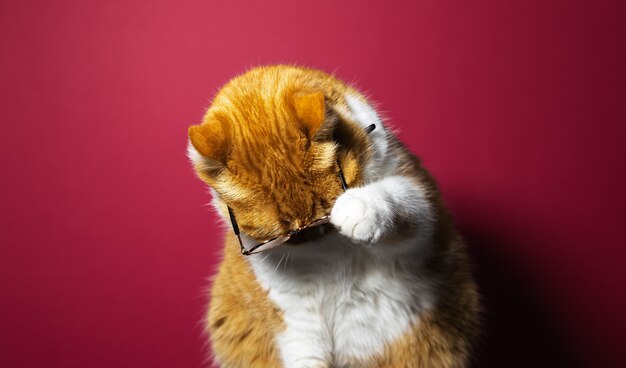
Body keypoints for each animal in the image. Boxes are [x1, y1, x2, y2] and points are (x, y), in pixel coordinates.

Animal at [186, 66, 478, 368]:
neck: (329, 253)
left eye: (325, 214)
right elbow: (304, 350)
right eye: (284, 234)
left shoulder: (421, 205)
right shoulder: (293, 309)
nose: (312, 235)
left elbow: (394, 198)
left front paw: (356, 208)